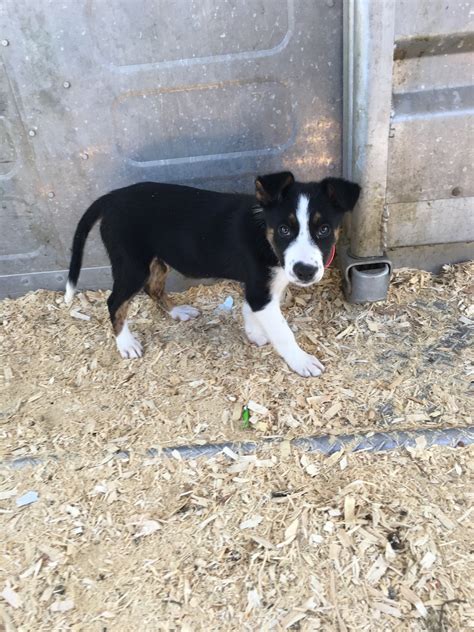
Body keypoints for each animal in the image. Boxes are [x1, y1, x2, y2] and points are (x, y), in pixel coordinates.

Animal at [64, 172, 360, 376]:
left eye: (324, 230)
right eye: (284, 230)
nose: (305, 271)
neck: (264, 234)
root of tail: (111, 198)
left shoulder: (263, 285)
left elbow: (249, 309)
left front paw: (254, 333)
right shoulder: (260, 288)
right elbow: (282, 331)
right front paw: (301, 361)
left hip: (157, 260)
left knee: (153, 288)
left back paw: (177, 312)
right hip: (132, 265)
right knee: (115, 302)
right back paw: (126, 344)